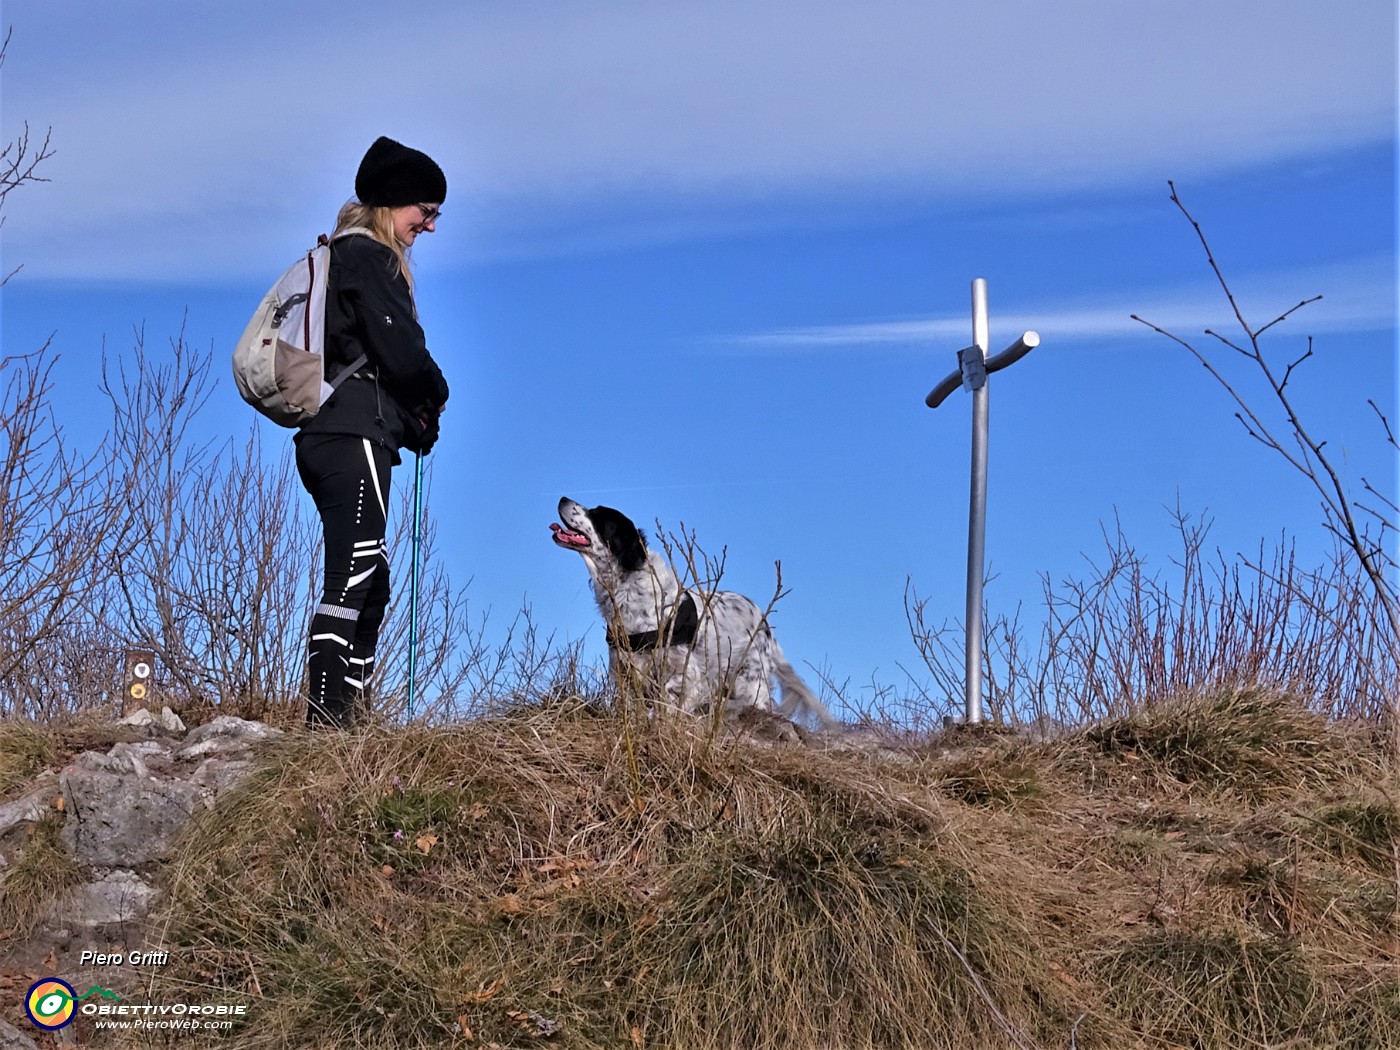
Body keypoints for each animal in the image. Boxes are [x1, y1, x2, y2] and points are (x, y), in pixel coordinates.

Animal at [546, 495, 828, 733]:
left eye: (597, 514)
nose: (563, 498)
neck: (631, 592)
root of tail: (765, 623)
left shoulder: (686, 671)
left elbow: (672, 699)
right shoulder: (625, 671)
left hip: (749, 681)